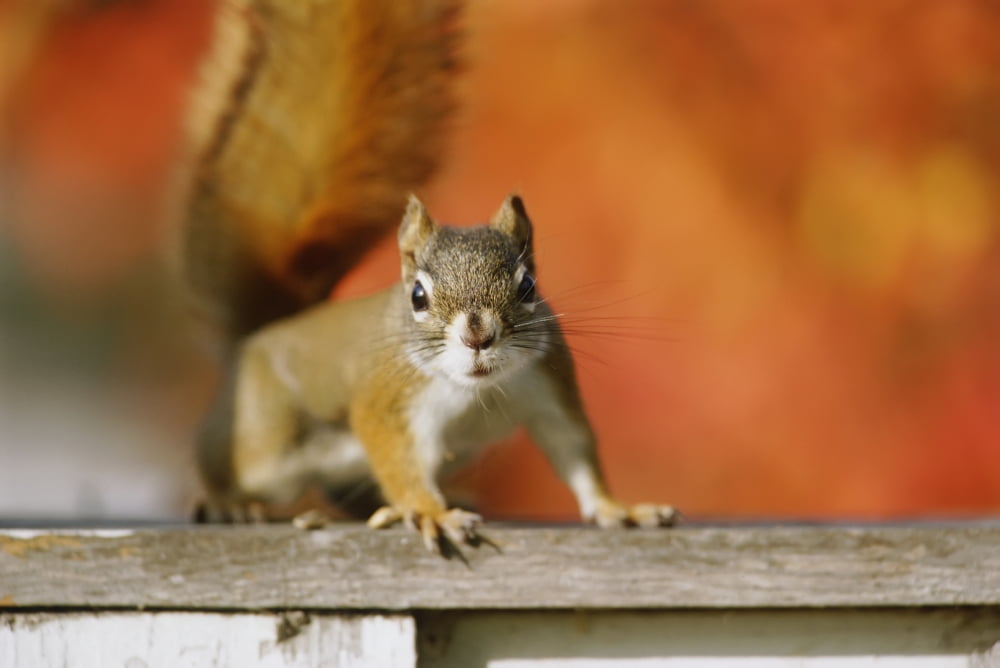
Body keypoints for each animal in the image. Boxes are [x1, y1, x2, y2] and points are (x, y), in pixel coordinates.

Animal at [178, 0, 676, 551]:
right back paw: (227, 502)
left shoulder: (551, 388)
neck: (478, 391)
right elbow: (400, 463)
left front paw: (619, 508)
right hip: (264, 440)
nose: (478, 335)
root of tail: (267, 329)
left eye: (527, 286)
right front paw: (430, 512)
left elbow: (576, 452)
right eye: (417, 295)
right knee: (223, 462)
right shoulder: (388, 402)